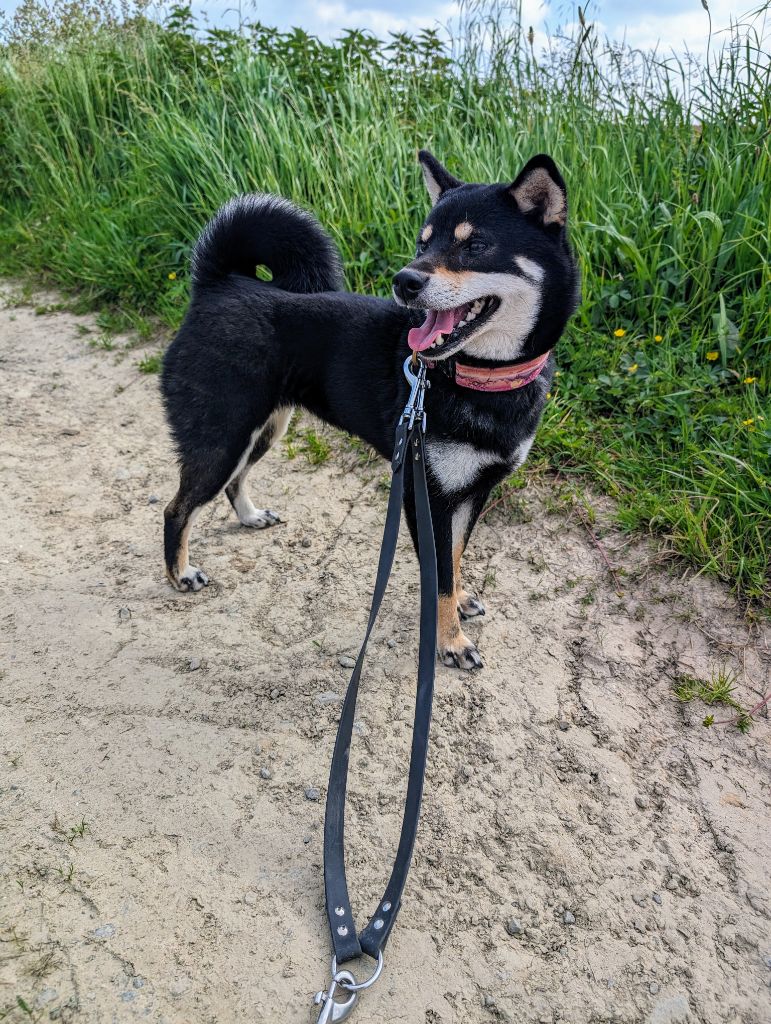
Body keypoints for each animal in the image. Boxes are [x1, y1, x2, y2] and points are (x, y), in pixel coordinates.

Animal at [160, 149, 577, 663]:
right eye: (422, 242)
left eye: (475, 244)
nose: (405, 280)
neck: (476, 378)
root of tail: (218, 285)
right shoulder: (427, 496)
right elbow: (439, 575)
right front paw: (451, 642)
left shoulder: (472, 493)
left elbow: (455, 560)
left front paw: (459, 603)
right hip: (222, 436)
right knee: (177, 509)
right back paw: (180, 574)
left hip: (263, 430)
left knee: (234, 482)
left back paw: (250, 516)